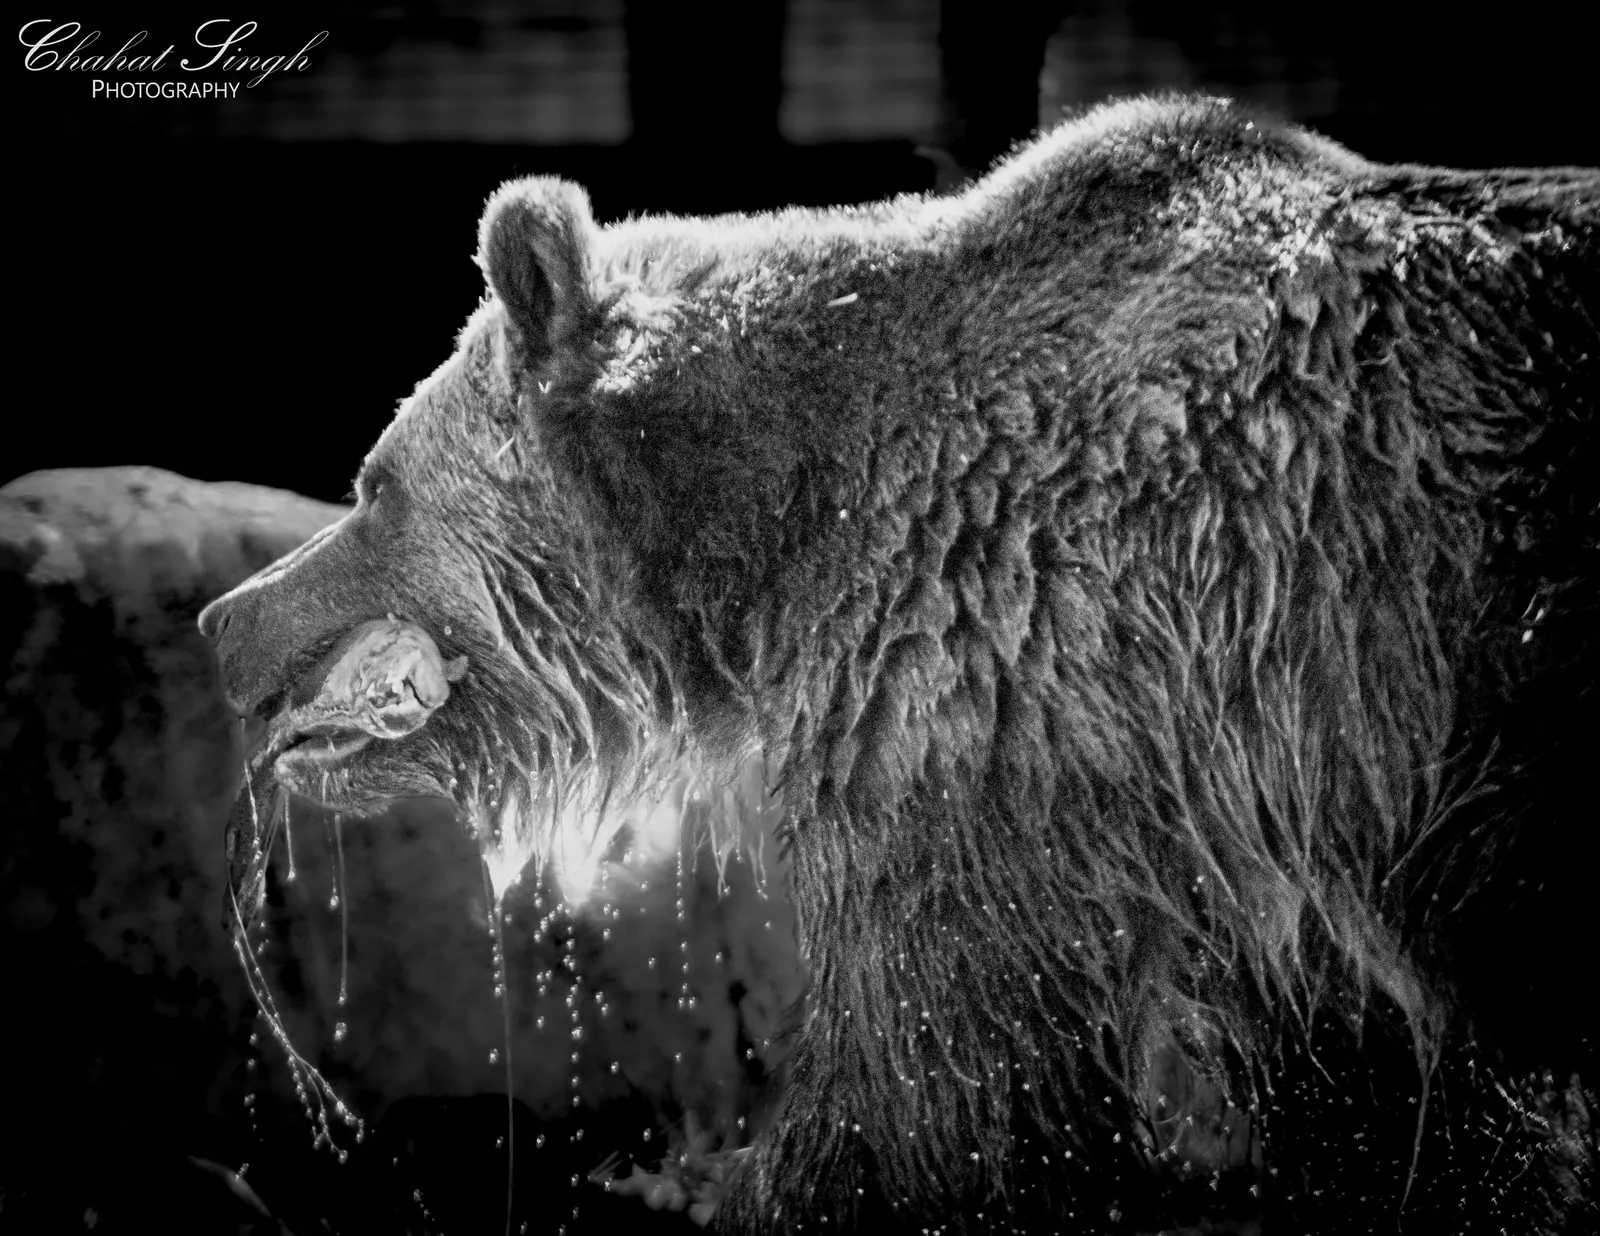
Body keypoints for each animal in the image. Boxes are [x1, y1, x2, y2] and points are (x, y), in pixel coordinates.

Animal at [199, 95, 1598, 1233]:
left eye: (372, 485)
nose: (226, 621)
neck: (766, 549)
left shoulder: (991, 690)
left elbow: (927, 1073)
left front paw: (702, 1178)